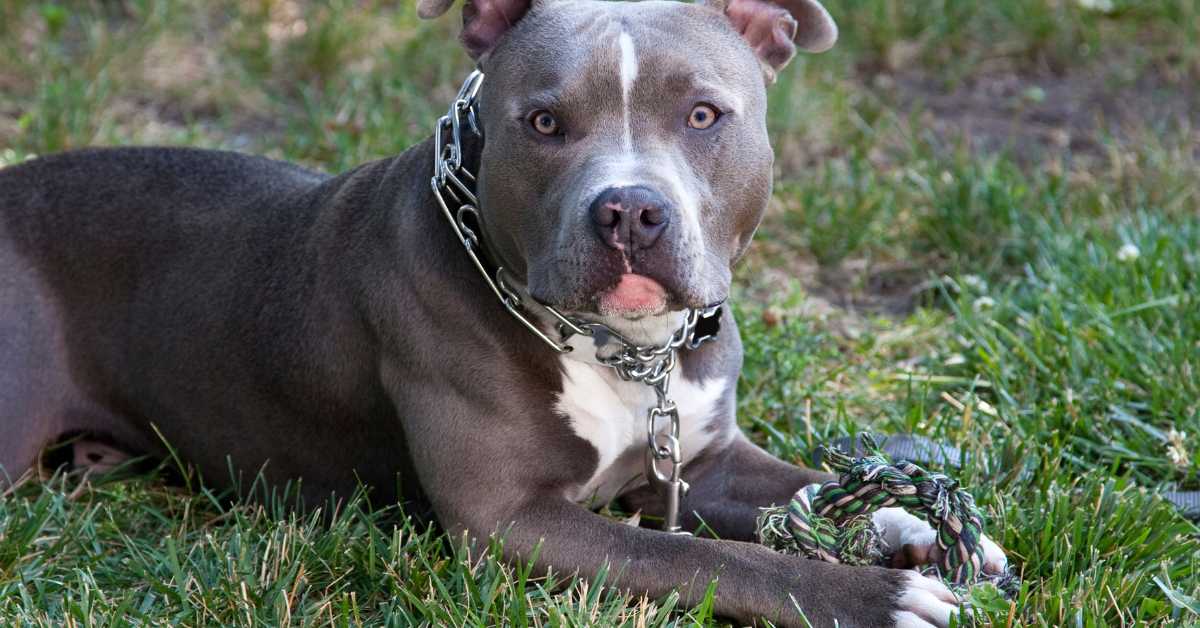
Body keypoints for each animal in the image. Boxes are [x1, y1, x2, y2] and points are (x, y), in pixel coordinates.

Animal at [2, 0, 1003, 624]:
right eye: (545, 122)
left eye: (704, 115)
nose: (630, 210)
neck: (621, 351)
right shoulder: (510, 520)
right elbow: (708, 560)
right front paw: (876, 599)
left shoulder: (705, 461)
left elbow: (807, 489)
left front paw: (916, 529)